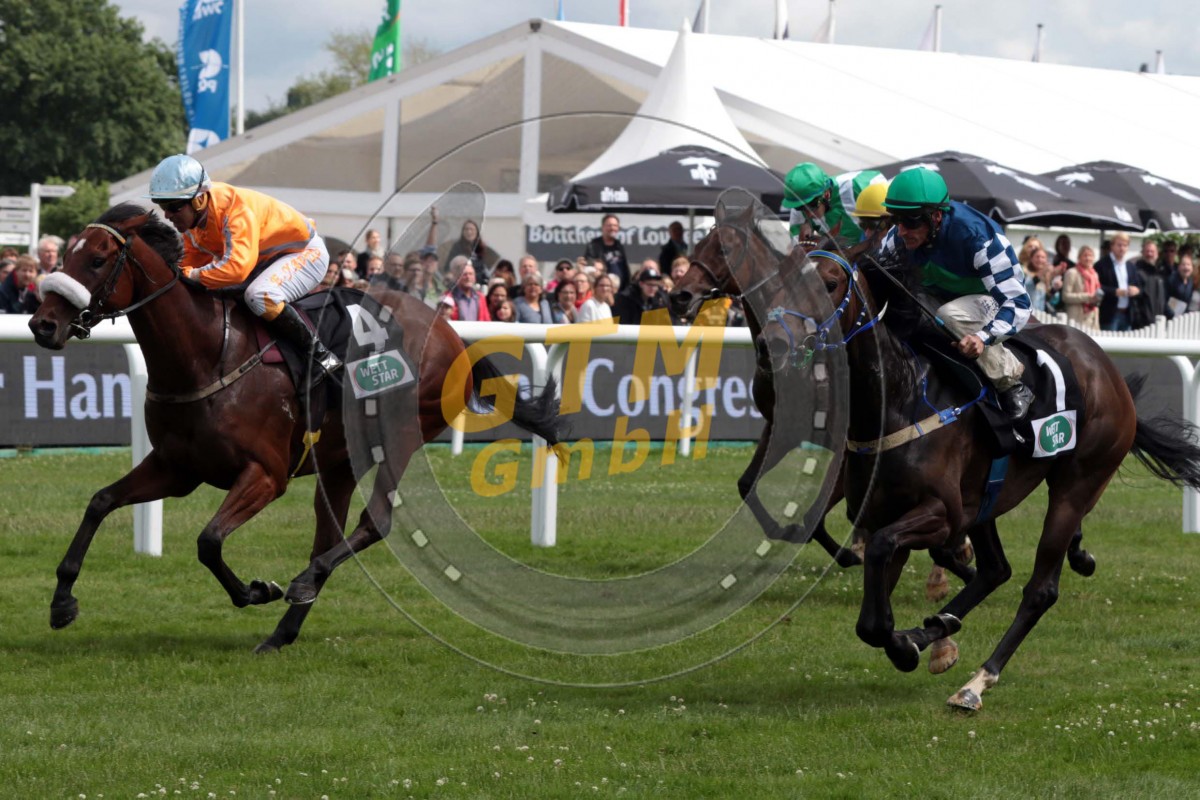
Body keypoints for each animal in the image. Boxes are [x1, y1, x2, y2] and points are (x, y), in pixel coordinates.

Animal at [28, 203, 567, 653]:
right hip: (338, 462)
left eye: (98, 259)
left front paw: (256, 589)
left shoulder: (266, 475)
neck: (205, 355)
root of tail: (451, 334)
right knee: (329, 535)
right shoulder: (176, 468)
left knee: (374, 523)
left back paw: (301, 583)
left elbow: (208, 541)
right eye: (67, 253)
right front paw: (61, 602)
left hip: (399, 438)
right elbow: (100, 502)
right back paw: (283, 631)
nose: (42, 325)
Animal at [757, 246, 1200, 710]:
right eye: (778, 280)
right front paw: (912, 640)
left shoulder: (942, 513)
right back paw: (938, 631)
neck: (899, 400)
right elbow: (871, 620)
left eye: (829, 283)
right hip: (985, 500)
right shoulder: (887, 514)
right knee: (995, 570)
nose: (773, 343)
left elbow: (879, 558)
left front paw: (908, 645)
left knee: (1039, 589)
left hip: (1077, 485)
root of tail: (1109, 371)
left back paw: (977, 681)